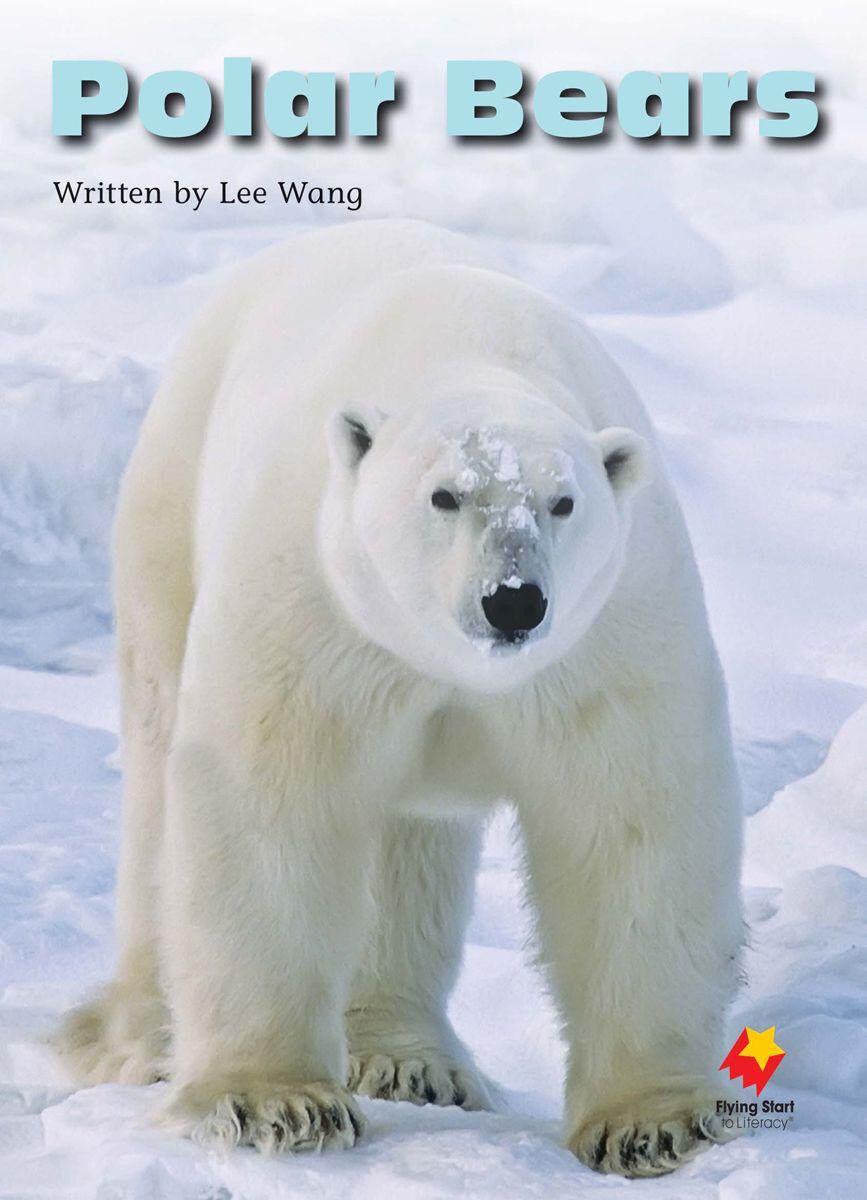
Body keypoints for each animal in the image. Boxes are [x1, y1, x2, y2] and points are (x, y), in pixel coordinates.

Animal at [56, 219, 744, 1178]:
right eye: (444, 496)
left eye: (564, 502)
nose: (513, 601)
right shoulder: (316, 608)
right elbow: (271, 807)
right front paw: (272, 1102)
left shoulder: (609, 635)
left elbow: (631, 822)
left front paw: (652, 1122)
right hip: (169, 511)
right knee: (160, 781)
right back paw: (146, 1037)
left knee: (405, 844)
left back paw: (408, 1060)